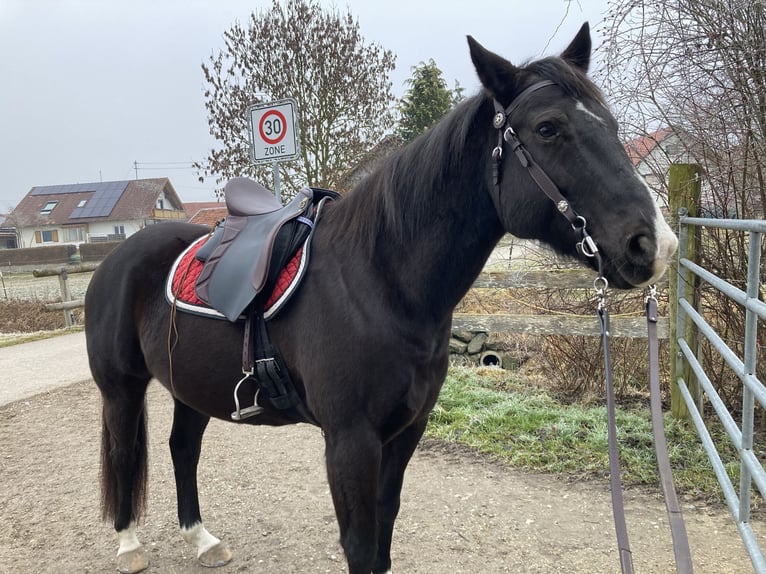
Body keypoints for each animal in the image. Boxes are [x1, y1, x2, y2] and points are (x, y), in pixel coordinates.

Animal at [85, 23, 677, 574]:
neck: (380, 284)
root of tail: (116, 257)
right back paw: (129, 545)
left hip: (190, 386)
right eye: (548, 128)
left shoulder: (406, 431)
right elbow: (360, 544)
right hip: (121, 390)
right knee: (122, 452)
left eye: (612, 126)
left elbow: (385, 533)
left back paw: (202, 540)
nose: (655, 244)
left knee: (182, 450)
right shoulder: (350, 442)